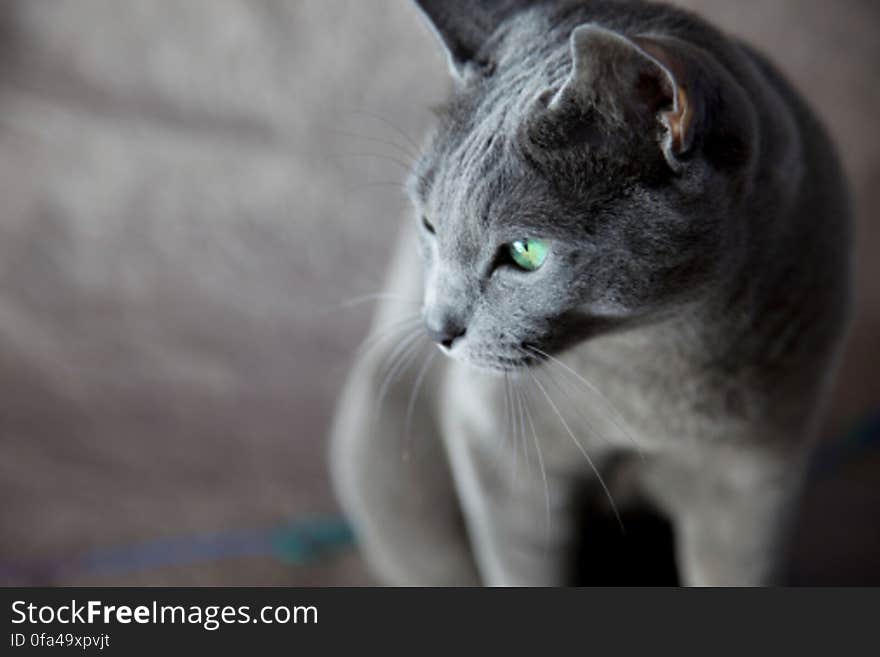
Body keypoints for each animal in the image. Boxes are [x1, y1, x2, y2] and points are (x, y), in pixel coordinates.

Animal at [326, 0, 848, 584]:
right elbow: (522, 566)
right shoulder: (499, 453)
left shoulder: (756, 477)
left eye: (525, 251)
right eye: (429, 225)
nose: (437, 328)